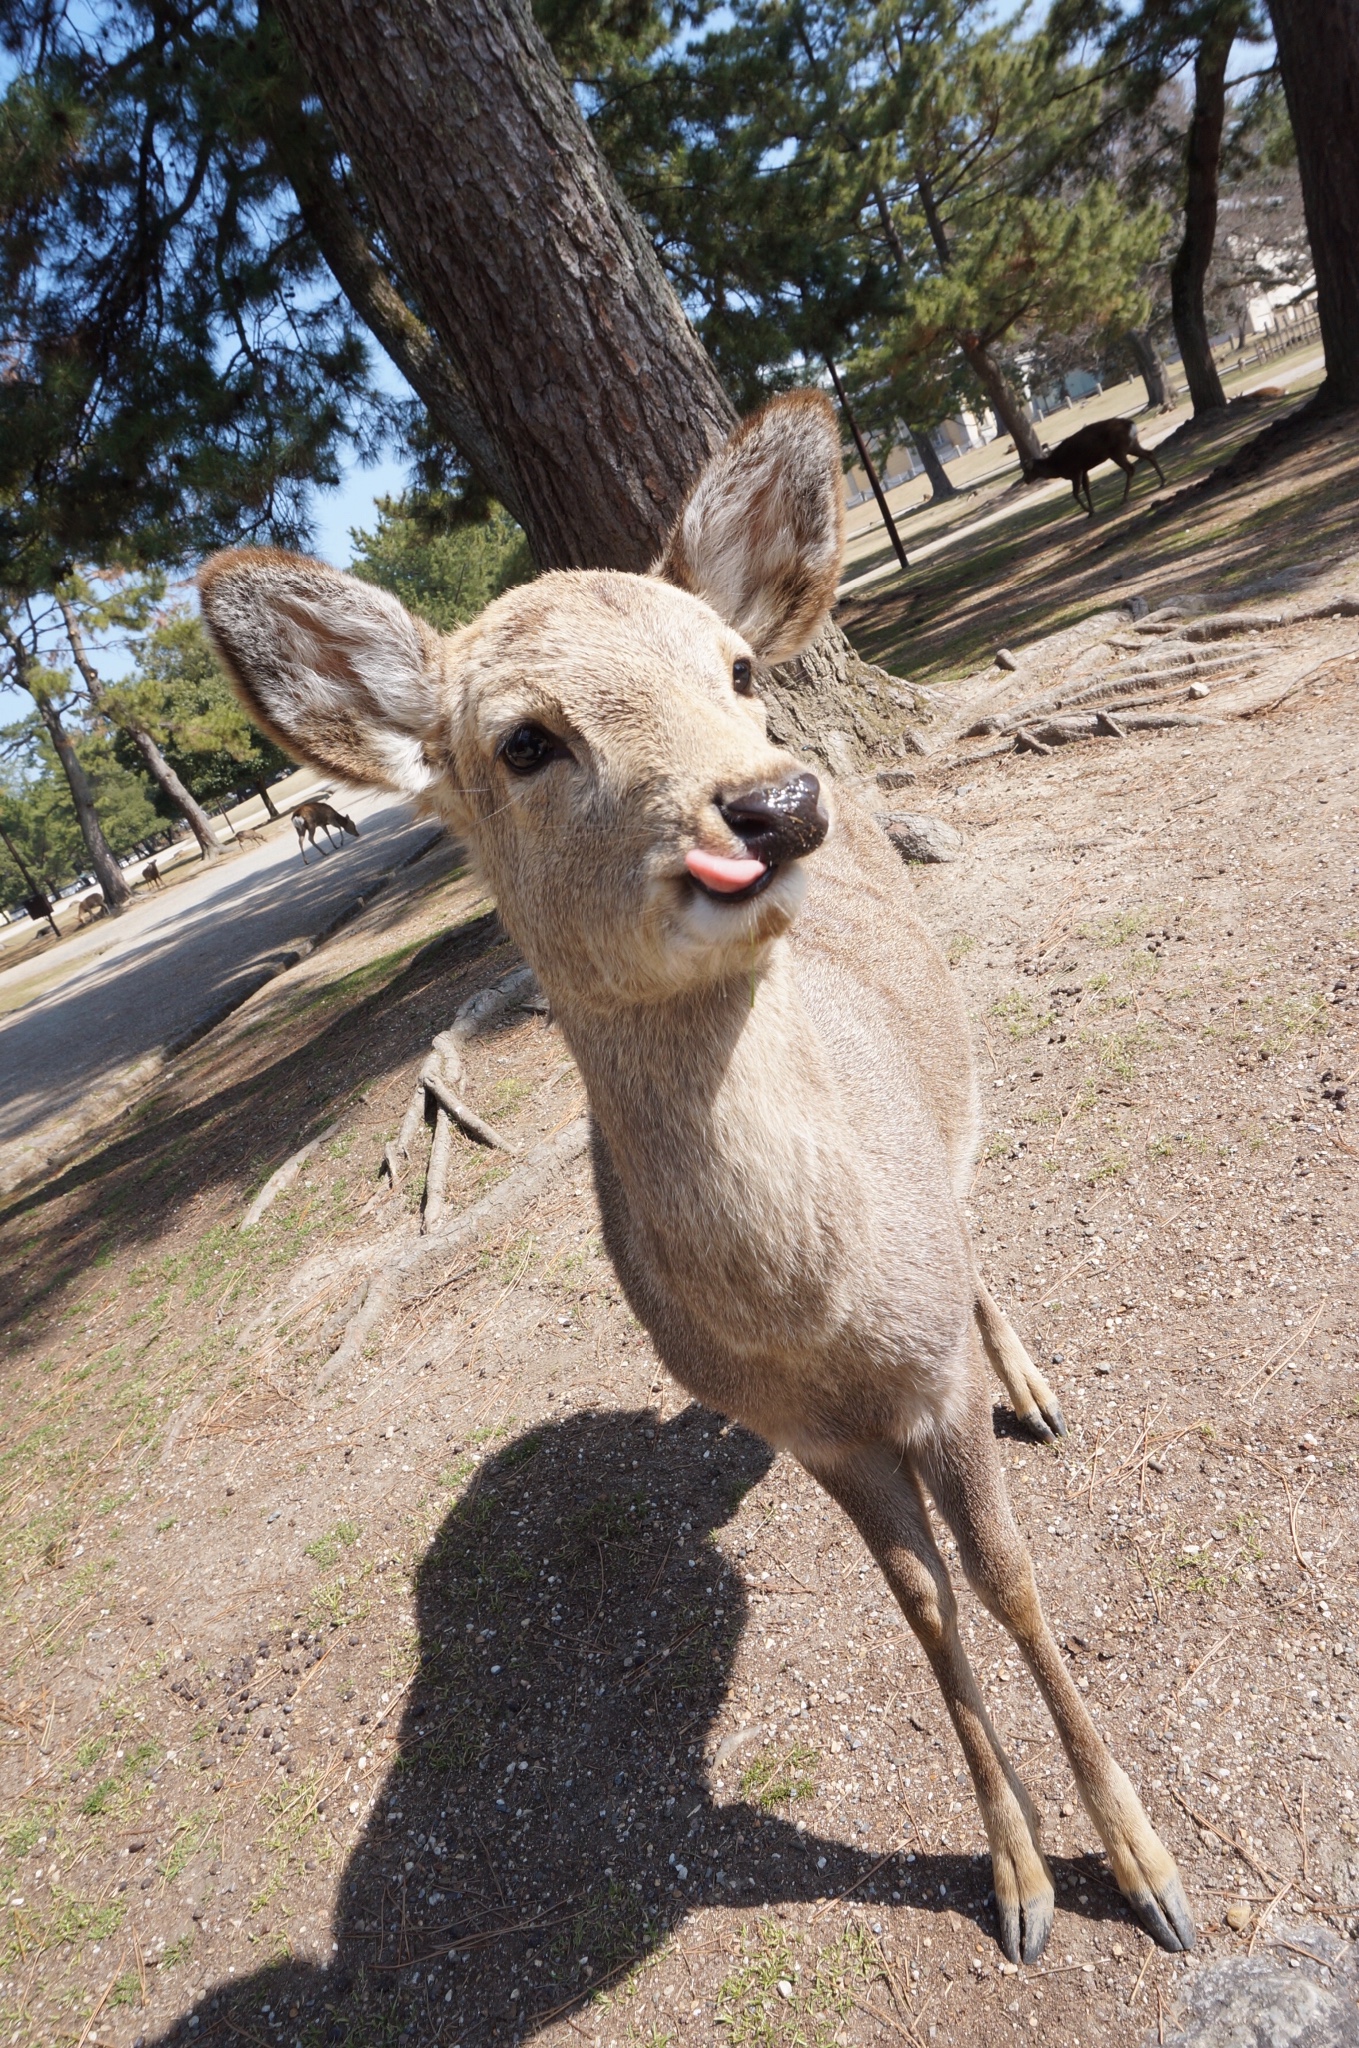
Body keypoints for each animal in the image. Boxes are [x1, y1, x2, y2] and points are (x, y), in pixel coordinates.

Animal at [1019, 413, 1170, 516]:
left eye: (1027, 470)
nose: (1025, 480)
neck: (1058, 466)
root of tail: (1131, 425)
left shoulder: (1075, 470)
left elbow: (1075, 493)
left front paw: (1088, 511)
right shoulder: (1084, 470)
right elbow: (1086, 488)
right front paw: (1092, 509)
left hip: (1117, 451)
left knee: (1131, 468)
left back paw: (1124, 498)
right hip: (1131, 445)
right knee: (1149, 454)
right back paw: (1162, 481)